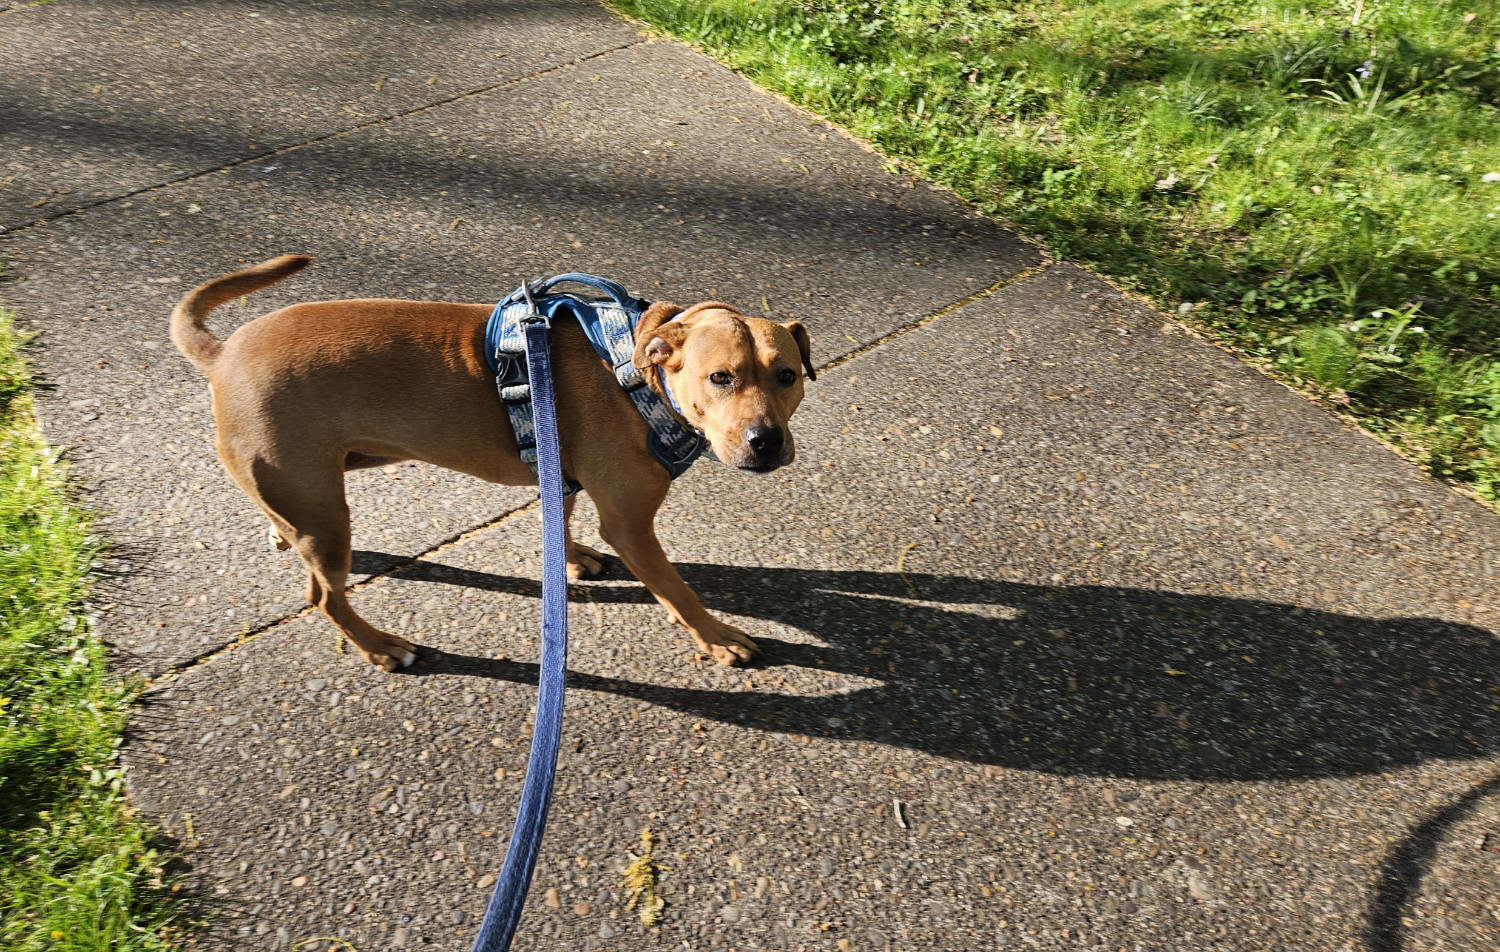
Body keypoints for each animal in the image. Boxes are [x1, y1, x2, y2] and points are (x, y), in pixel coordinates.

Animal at [170, 253, 816, 671]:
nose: (765, 439)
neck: (634, 369)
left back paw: (282, 537)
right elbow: (678, 591)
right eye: (720, 378)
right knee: (326, 597)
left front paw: (572, 557)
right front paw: (717, 637)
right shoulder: (630, 524)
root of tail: (222, 352)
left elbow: (564, 515)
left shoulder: (565, 470)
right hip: (327, 514)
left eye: (786, 376)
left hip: (316, 490)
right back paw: (381, 647)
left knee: (294, 540)